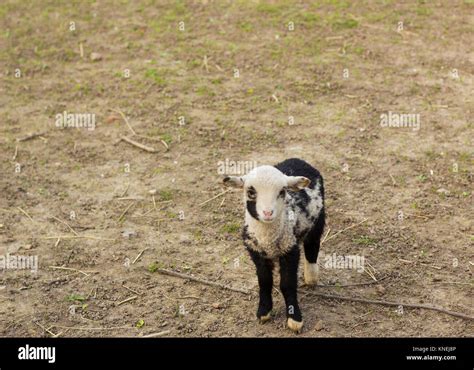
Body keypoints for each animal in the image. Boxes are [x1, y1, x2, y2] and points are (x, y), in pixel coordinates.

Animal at [224, 158, 324, 334]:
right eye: (251, 192)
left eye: (282, 191)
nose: (268, 213)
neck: (267, 238)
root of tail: (297, 159)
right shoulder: (255, 251)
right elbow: (264, 281)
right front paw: (264, 312)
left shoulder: (290, 250)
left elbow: (287, 284)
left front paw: (294, 319)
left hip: (318, 221)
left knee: (312, 247)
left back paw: (311, 277)